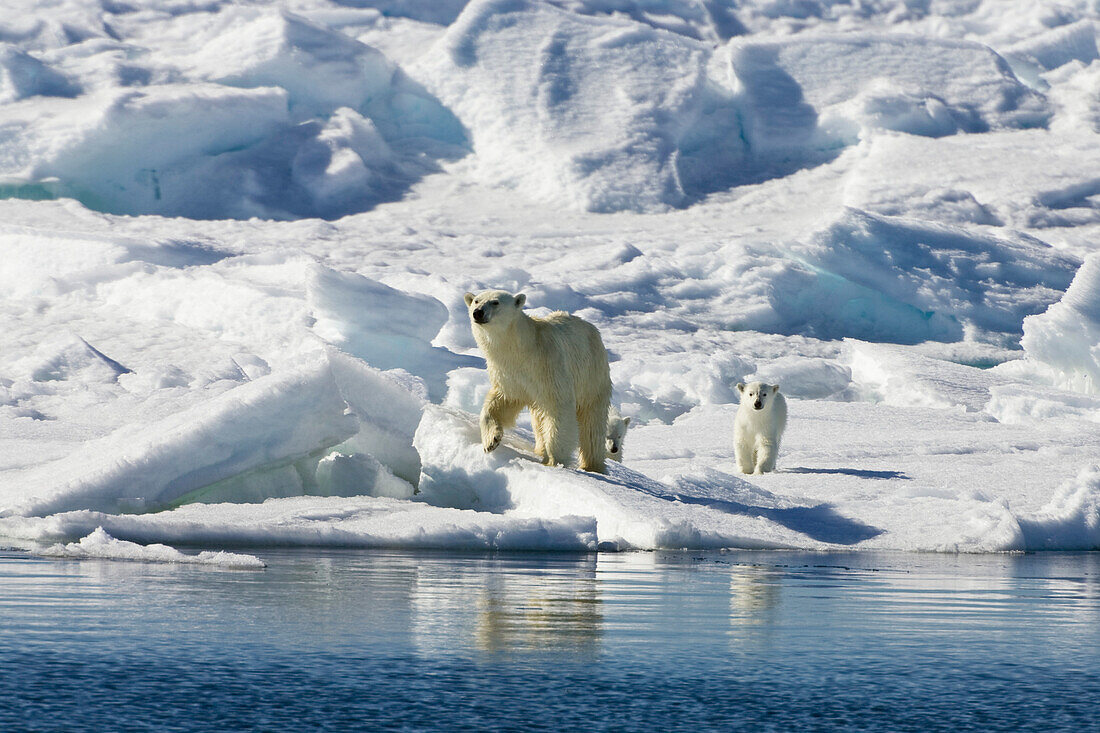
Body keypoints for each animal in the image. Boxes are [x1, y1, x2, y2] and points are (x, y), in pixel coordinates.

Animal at [464, 288, 616, 471]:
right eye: (476, 301)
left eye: (495, 302)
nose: (477, 313)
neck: (522, 349)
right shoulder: (508, 374)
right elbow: (501, 402)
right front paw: (491, 441)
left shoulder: (548, 365)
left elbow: (558, 408)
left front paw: (554, 461)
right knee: (539, 419)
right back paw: (540, 449)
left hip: (592, 376)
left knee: (592, 425)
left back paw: (592, 465)